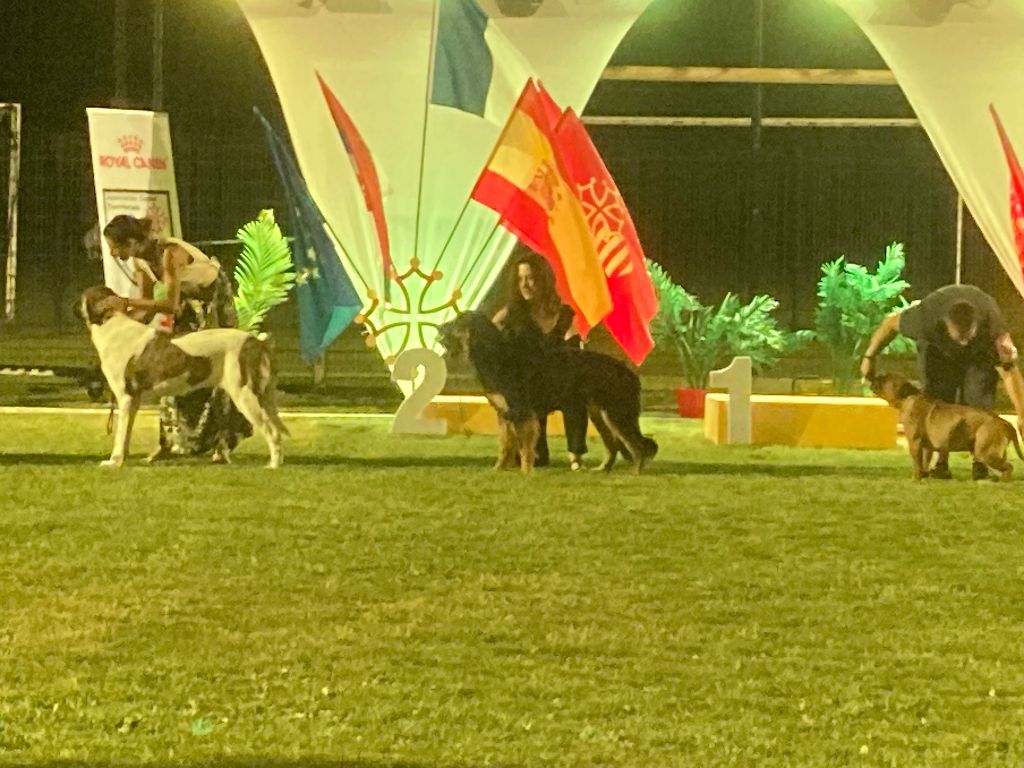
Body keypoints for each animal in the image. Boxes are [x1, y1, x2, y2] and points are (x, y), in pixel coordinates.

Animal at [78, 285, 288, 468]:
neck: (109, 323)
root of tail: (255, 341)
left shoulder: (125, 398)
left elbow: (120, 435)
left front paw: (114, 462)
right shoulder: (133, 402)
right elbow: (126, 433)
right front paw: (122, 459)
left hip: (245, 396)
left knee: (272, 432)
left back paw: (273, 465)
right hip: (261, 397)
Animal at [438, 311, 657, 474]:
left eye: (457, 322)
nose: (439, 328)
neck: (495, 355)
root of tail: (629, 372)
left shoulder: (521, 412)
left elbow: (524, 447)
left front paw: (526, 472)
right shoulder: (504, 413)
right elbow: (505, 447)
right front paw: (498, 469)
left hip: (617, 414)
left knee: (637, 446)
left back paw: (636, 473)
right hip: (600, 415)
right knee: (614, 446)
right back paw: (603, 469)